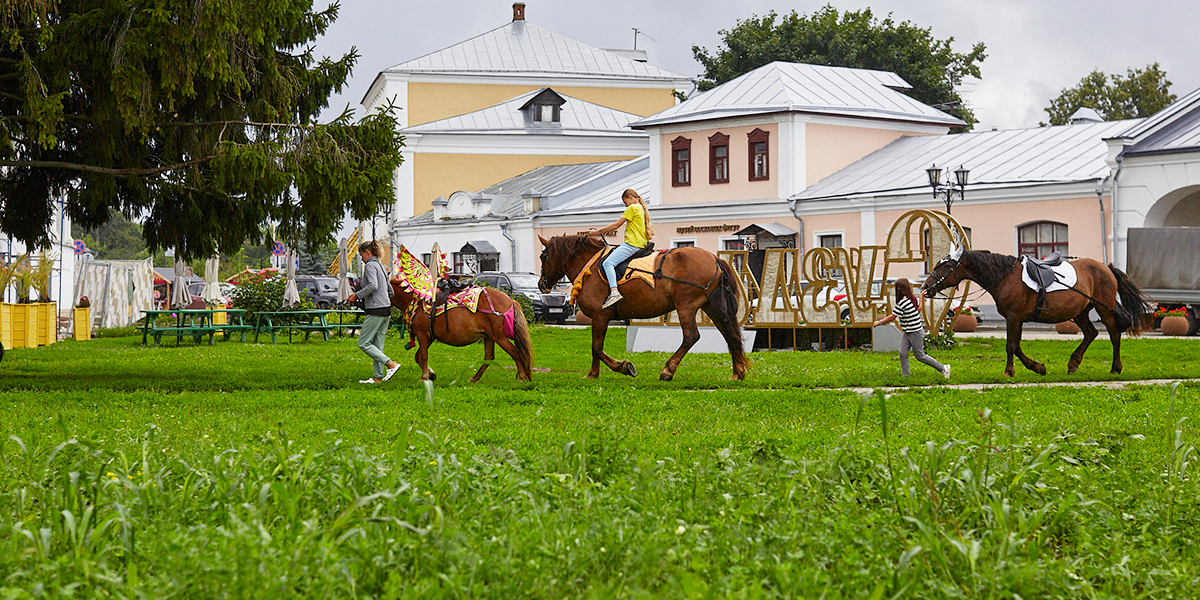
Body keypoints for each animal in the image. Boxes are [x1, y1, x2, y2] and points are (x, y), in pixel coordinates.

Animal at [388, 278, 535, 381]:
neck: (417, 301)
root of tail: (510, 300)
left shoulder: (422, 334)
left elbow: (423, 356)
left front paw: (424, 377)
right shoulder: (429, 336)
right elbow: (418, 356)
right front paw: (431, 374)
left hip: (498, 336)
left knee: (515, 352)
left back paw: (522, 376)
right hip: (489, 336)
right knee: (489, 357)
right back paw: (474, 378)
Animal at [537, 232, 744, 379]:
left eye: (543, 257)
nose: (541, 284)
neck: (590, 266)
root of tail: (715, 258)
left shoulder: (600, 316)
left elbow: (596, 347)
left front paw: (621, 367)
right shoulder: (599, 318)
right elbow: (596, 348)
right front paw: (594, 374)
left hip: (686, 306)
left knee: (691, 336)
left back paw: (668, 370)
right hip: (712, 306)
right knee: (730, 334)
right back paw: (738, 371)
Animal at [921, 248, 1147, 374]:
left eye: (945, 266)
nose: (926, 286)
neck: (1005, 276)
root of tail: (1106, 267)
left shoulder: (1013, 317)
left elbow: (1011, 346)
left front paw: (1010, 371)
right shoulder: (1017, 319)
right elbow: (1016, 346)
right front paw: (1037, 367)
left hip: (1104, 308)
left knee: (1114, 335)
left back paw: (1115, 367)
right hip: (1080, 312)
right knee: (1091, 333)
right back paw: (1073, 363)